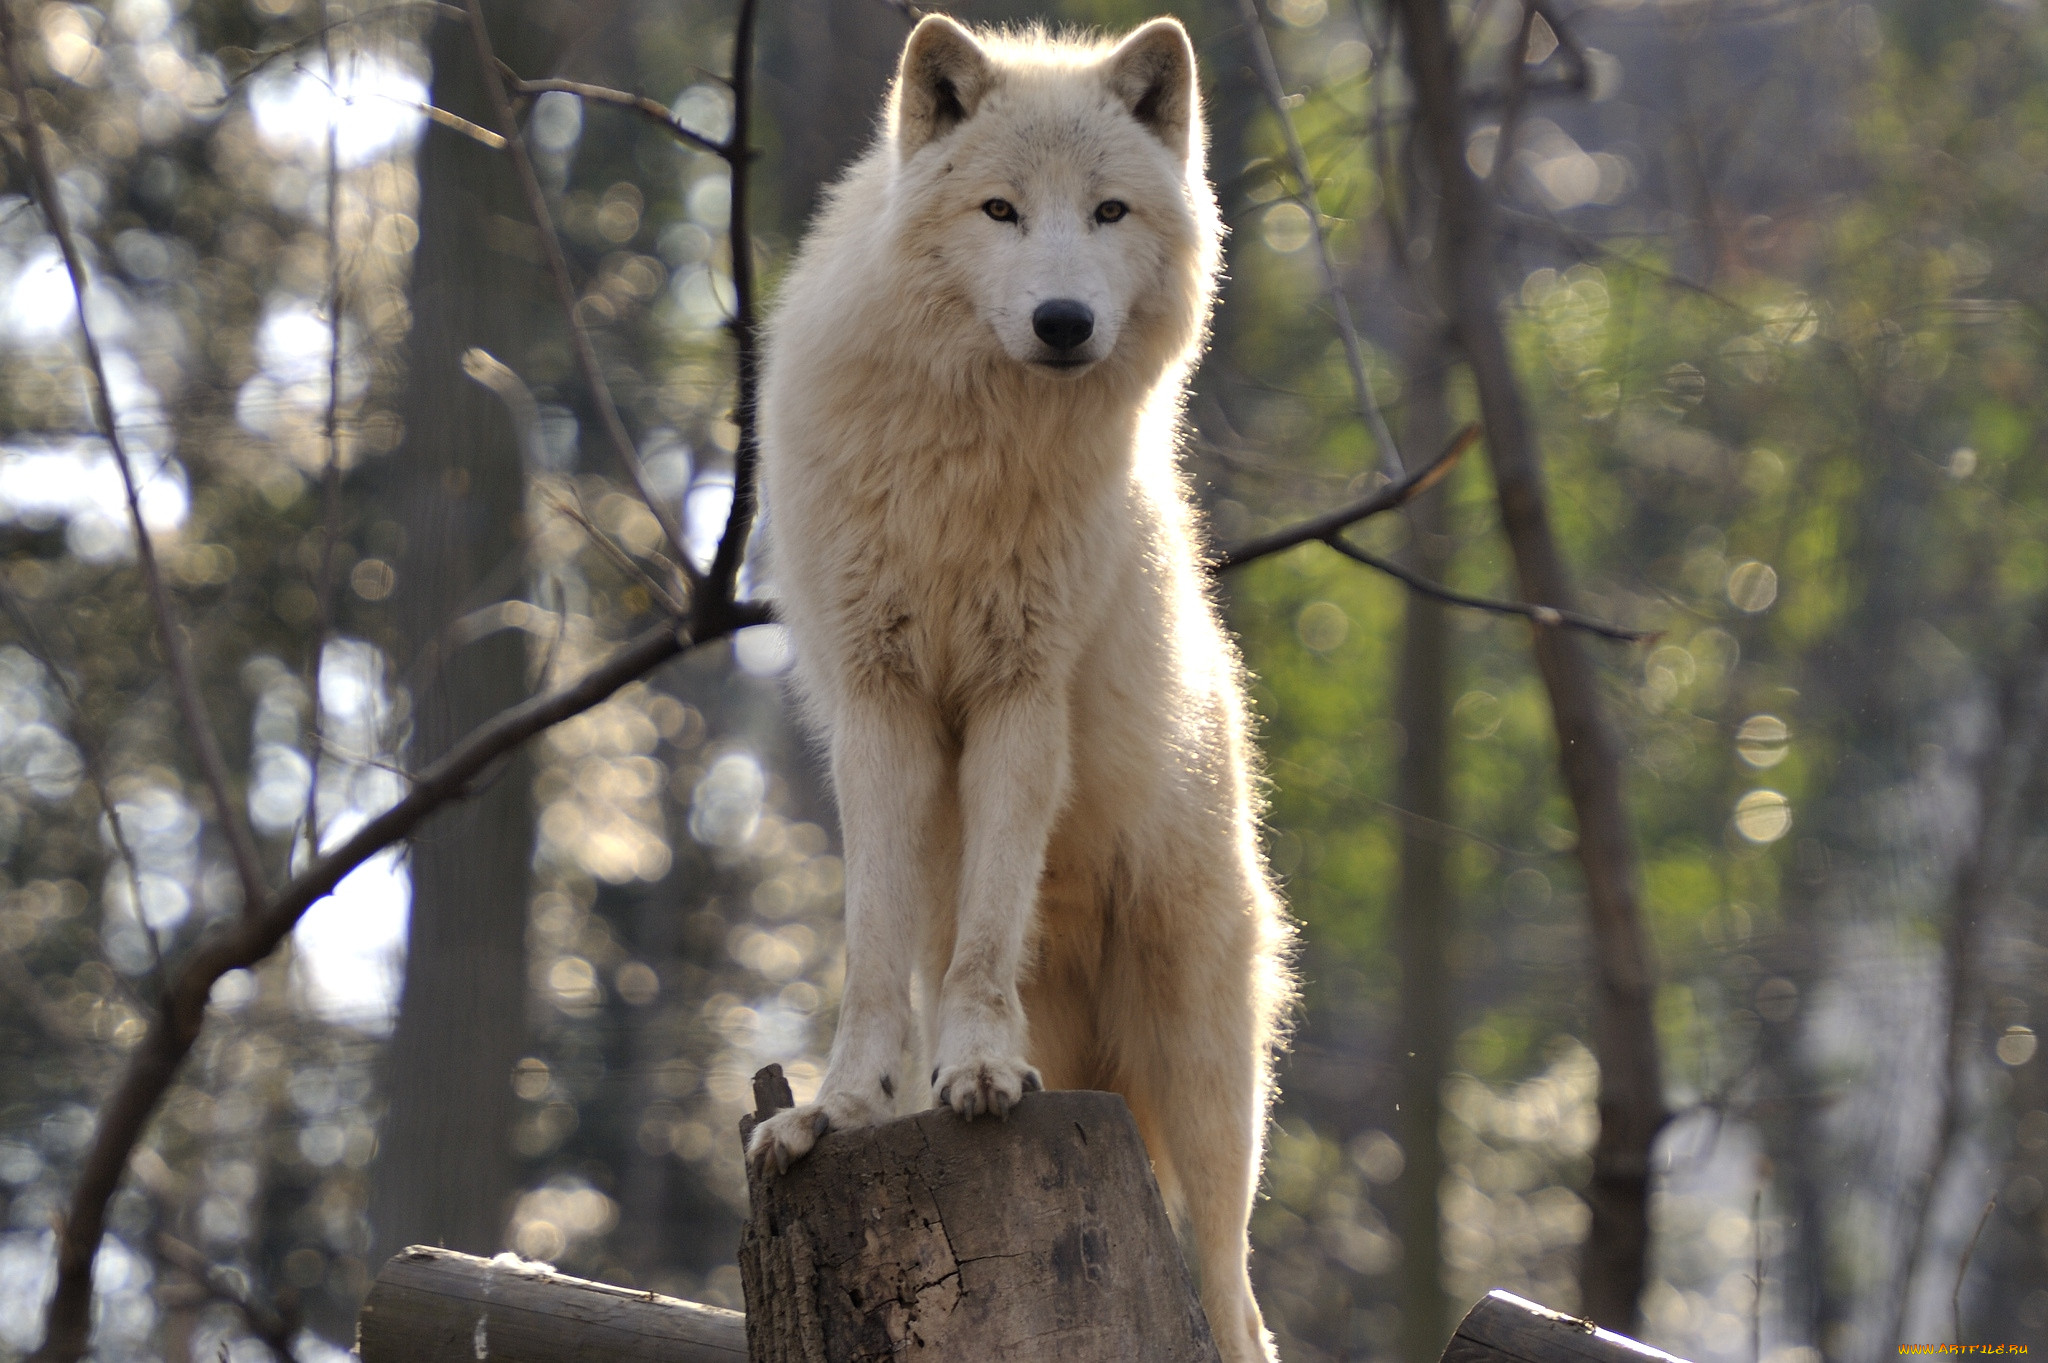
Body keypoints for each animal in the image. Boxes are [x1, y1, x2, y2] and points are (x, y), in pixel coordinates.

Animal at [753, 18, 1286, 1358]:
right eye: (999, 209)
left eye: (1105, 212)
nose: (1060, 319)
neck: (971, 458)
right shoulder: (880, 704)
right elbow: (875, 948)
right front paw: (839, 1109)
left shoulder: (1018, 696)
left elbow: (985, 931)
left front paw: (981, 1074)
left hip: (1207, 1079)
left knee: (1232, 1286)